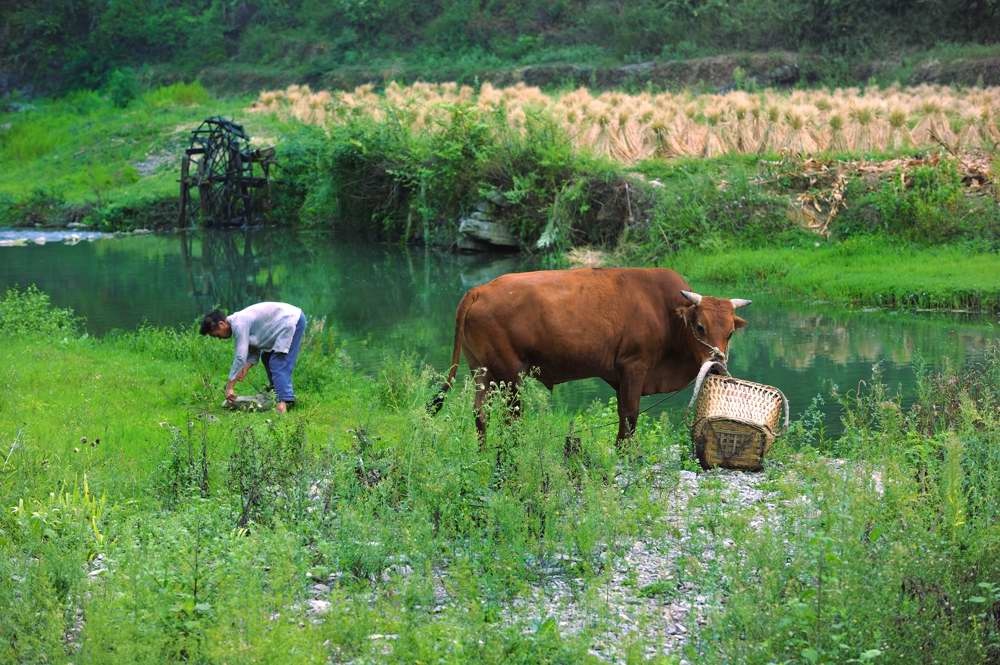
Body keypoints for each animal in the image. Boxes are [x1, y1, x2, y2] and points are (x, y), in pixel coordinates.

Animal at [428, 268, 752, 444]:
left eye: (730, 332)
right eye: (700, 326)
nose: (718, 366)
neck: (663, 310)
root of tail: (479, 289)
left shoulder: (619, 375)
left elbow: (624, 414)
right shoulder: (634, 366)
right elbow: (630, 415)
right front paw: (625, 454)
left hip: (481, 371)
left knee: (480, 414)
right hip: (510, 375)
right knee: (511, 418)